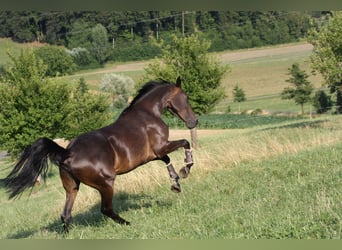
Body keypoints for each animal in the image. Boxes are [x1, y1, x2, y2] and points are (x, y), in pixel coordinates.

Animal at [2, 76, 198, 232]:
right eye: (186, 97)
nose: (194, 121)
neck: (148, 114)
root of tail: (68, 152)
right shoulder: (160, 147)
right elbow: (185, 143)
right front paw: (186, 169)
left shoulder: (155, 154)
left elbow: (168, 160)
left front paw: (176, 183)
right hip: (106, 182)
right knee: (106, 209)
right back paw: (127, 223)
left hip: (72, 187)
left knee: (66, 214)